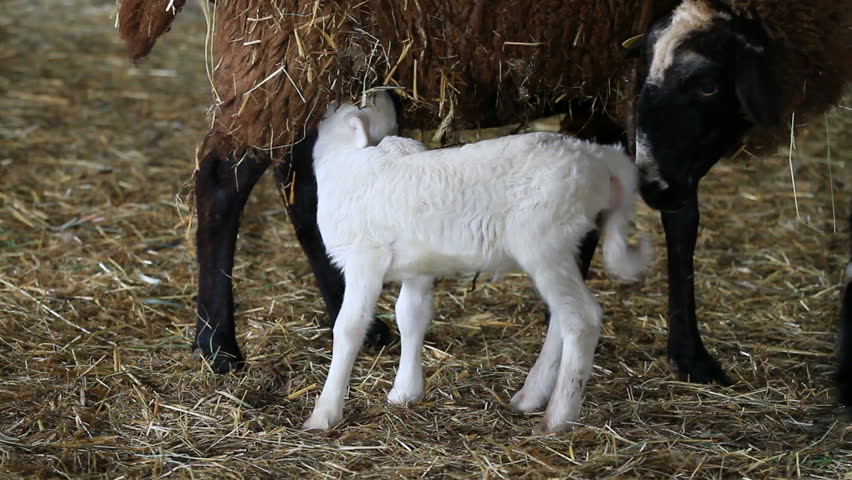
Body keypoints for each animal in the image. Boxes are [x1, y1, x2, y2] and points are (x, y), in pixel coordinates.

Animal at [302, 92, 651, 432]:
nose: (389, 93)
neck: (343, 162)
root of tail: (599, 157)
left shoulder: (365, 257)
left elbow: (350, 326)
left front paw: (324, 413)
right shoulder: (418, 265)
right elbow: (411, 315)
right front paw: (405, 392)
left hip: (544, 243)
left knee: (582, 320)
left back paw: (560, 416)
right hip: (563, 248)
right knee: (561, 318)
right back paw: (532, 395)